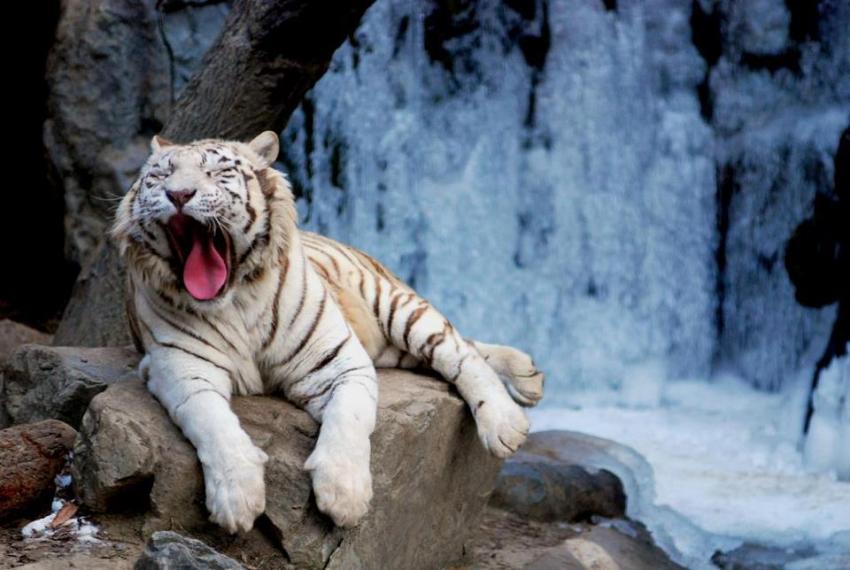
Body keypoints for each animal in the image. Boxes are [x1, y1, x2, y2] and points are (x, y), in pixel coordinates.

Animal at [111, 131, 544, 533]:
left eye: (216, 172)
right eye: (161, 175)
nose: (178, 194)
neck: (235, 301)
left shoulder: (339, 360)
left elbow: (349, 418)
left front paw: (344, 495)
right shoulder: (181, 369)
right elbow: (213, 423)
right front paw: (237, 499)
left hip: (395, 305)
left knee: (458, 350)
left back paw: (507, 419)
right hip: (391, 348)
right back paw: (528, 374)